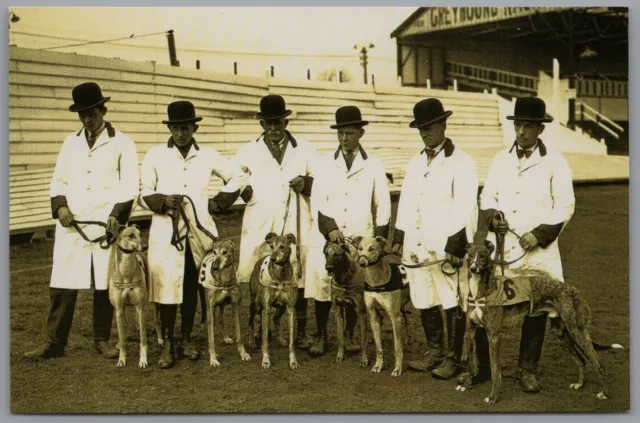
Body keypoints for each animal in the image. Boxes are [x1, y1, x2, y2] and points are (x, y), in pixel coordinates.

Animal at [107, 225, 158, 368]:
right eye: (130, 235)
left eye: (140, 234)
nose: (145, 246)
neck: (126, 273)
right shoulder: (119, 309)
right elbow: (122, 336)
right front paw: (121, 359)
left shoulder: (140, 307)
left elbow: (143, 338)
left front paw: (143, 360)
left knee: (156, 320)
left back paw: (160, 339)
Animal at [249, 234, 302, 370]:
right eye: (272, 246)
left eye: (282, 246)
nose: (272, 258)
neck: (280, 275)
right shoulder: (266, 308)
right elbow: (265, 341)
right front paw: (265, 360)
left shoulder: (290, 309)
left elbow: (291, 342)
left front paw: (293, 361)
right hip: (255, 305)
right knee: (250, 321)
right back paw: (252, 341)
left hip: (281, 307)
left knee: (275, 319)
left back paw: (281, 339)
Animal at [356, 235, 410, 378]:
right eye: (360, 248)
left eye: (372, 248)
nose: (361, 263)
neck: (376, 280)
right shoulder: (372, 314)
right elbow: (378, 346)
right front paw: (378, 365)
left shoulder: (394, 317)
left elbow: (397, 346)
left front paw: (397, 369)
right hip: (399, 306)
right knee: (406, 318)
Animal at [458, 242, 624, 404]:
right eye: (470, 255)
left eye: (483, 256)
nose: (473, 268)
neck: (482, 290)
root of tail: (577, 292)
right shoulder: (470, 332)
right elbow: (470, 363)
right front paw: (467, 384)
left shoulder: (494, 335)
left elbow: (495, 371)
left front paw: (493, 397)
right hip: (562, 335)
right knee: (582, 360)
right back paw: (579, 384)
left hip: (577, 331)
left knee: (598, 363)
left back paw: (604, 393)